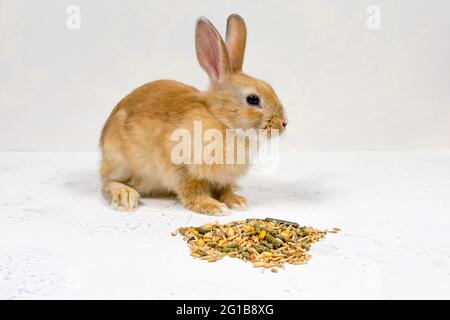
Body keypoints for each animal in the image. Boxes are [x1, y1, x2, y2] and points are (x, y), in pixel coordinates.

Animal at [100, 14, 286, 215]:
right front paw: (214, 207)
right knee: (107, 182)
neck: (222, 122)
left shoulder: (224, 177)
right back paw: (125, 196)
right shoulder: (184, 169)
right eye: (253, 99)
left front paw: (237, 201)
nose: (283, 124)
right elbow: (192, 191)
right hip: (120, 161)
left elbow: (225, 189)